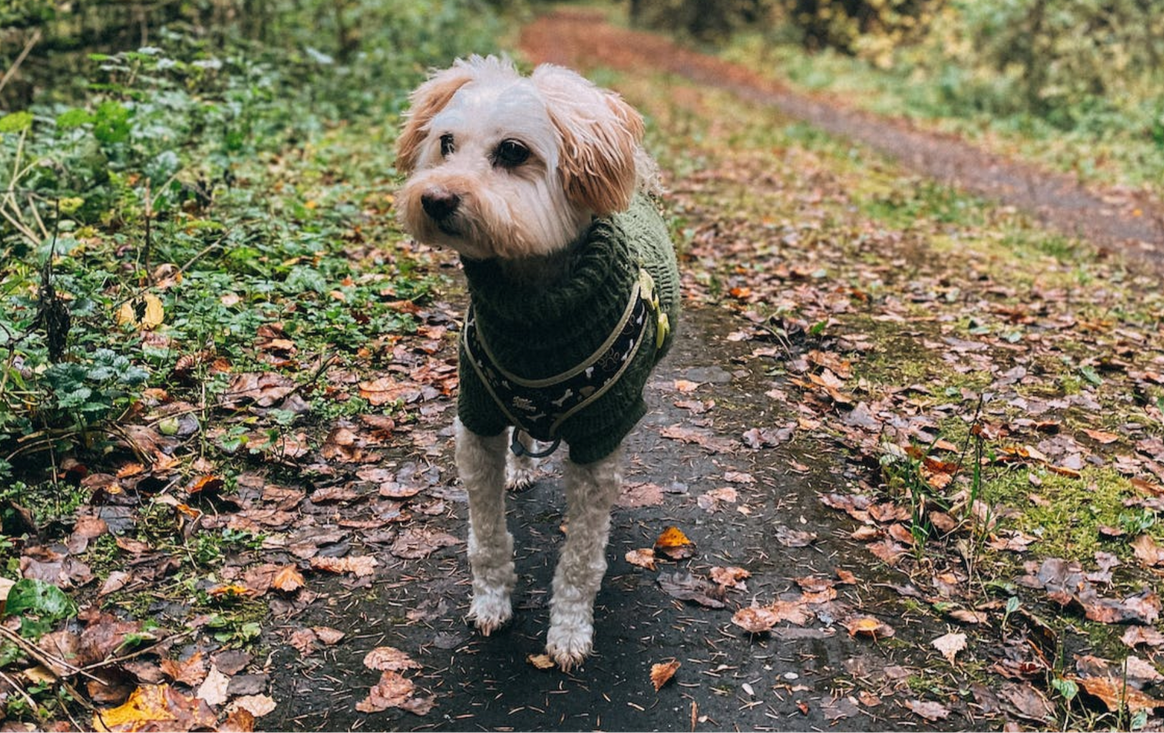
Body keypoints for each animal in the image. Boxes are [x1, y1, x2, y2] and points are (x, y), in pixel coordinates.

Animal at [395, 54, 679, 670]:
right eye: (445, 143)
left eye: (512, 151)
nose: (434, 199)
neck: (534, 314)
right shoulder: (477, 417)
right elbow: (486, 535)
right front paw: (492, 599)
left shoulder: (600, 438)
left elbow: (581, 557)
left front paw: (569, 629)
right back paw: (522, 466)